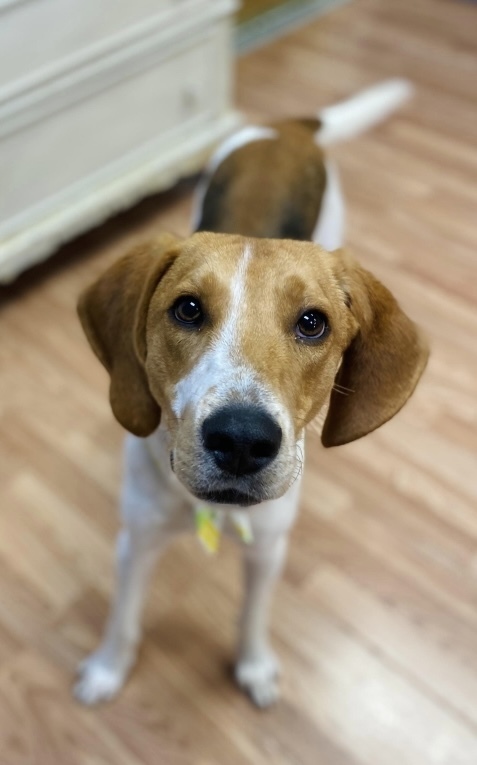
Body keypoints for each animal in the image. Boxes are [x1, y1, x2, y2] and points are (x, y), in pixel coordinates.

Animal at [75, 80, 428, 708]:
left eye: (313, 323)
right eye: (187, 309)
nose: (241, 440)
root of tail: (287, 127)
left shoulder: (268, 549)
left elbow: (253, 616)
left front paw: (255, 665)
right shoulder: (135, 539)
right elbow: (124, 616)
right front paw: (108, 669)